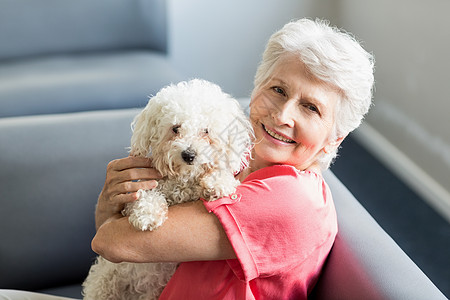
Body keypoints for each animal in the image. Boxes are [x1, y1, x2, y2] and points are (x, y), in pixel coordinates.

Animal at [81, 78, 253, 298]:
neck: (184, 181)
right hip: (106, 280)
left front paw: (218, 183)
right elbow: (146, 195)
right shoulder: (141, 191)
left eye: (206, 131)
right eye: (175, 128)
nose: (189, 155)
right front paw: (148, 214)